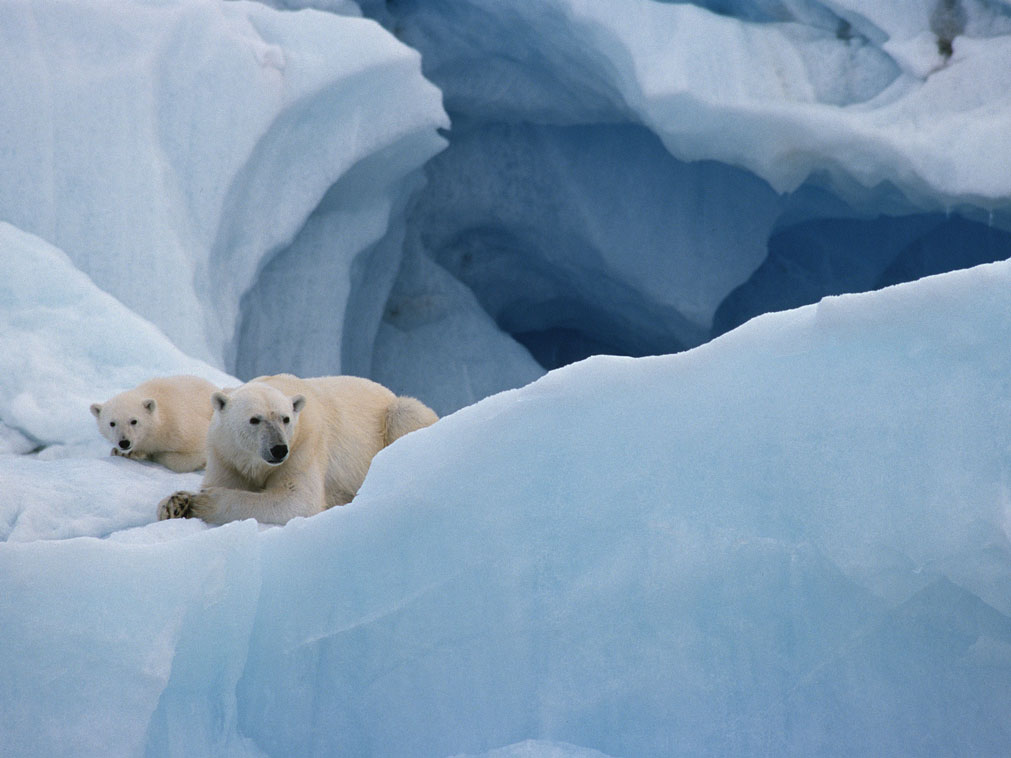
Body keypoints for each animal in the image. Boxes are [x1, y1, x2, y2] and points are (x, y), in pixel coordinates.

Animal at [158, 375, 438, 529]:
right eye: (254, 419)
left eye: (286, 419)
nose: (278, 449)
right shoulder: (225, 453)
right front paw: (175, 504)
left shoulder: (305, 447)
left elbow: (295, 499)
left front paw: (204, 501)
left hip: (394, 416)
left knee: (405, 414)